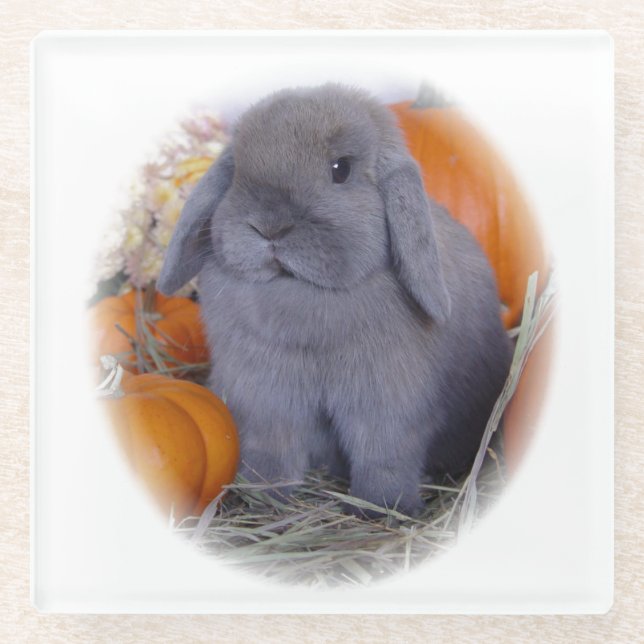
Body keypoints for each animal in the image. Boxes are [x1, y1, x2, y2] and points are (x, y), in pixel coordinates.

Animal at [157, 83, 513, 517]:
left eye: (340, 169)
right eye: (238, 170)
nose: (269, 227)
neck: (300, 292)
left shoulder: (385, 406)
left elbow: (383, 456)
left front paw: (382, 508)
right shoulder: (265, 398)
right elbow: (271, 449)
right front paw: (265, 497)